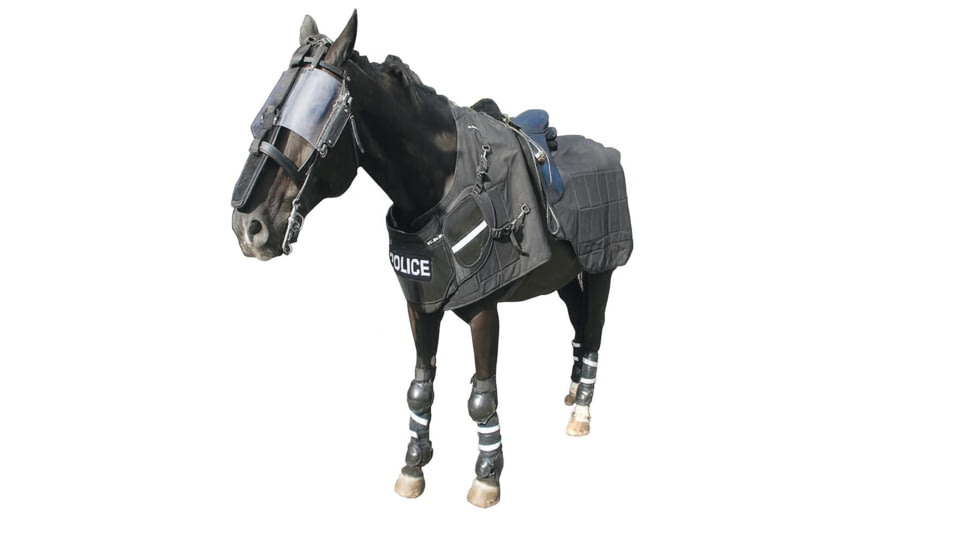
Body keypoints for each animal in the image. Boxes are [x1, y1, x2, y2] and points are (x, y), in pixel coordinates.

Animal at [230, 11, 632, 508]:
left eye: (315, 119)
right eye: (267, 113)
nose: (249, 226)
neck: (438, 183)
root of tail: (608, 151)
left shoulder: (483, 308)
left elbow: (482, 395)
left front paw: (487, 475)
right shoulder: (420, 303)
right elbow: (419, 390)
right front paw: (413, 466)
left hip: (602, 267)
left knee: (593, 332)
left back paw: (581, 411)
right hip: (565, 276)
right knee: (578, 328)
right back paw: (573, 391)